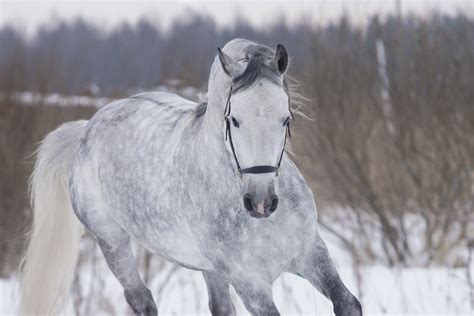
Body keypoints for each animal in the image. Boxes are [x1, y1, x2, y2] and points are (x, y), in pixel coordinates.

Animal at [17, 38, 360, 314]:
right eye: (234, 119)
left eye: (286, 118)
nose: (261, 203)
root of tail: (86, 128)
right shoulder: (251, 283)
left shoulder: (311, 254)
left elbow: (348, 304)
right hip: (111, 241)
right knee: (141, 299)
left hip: (210, 269)